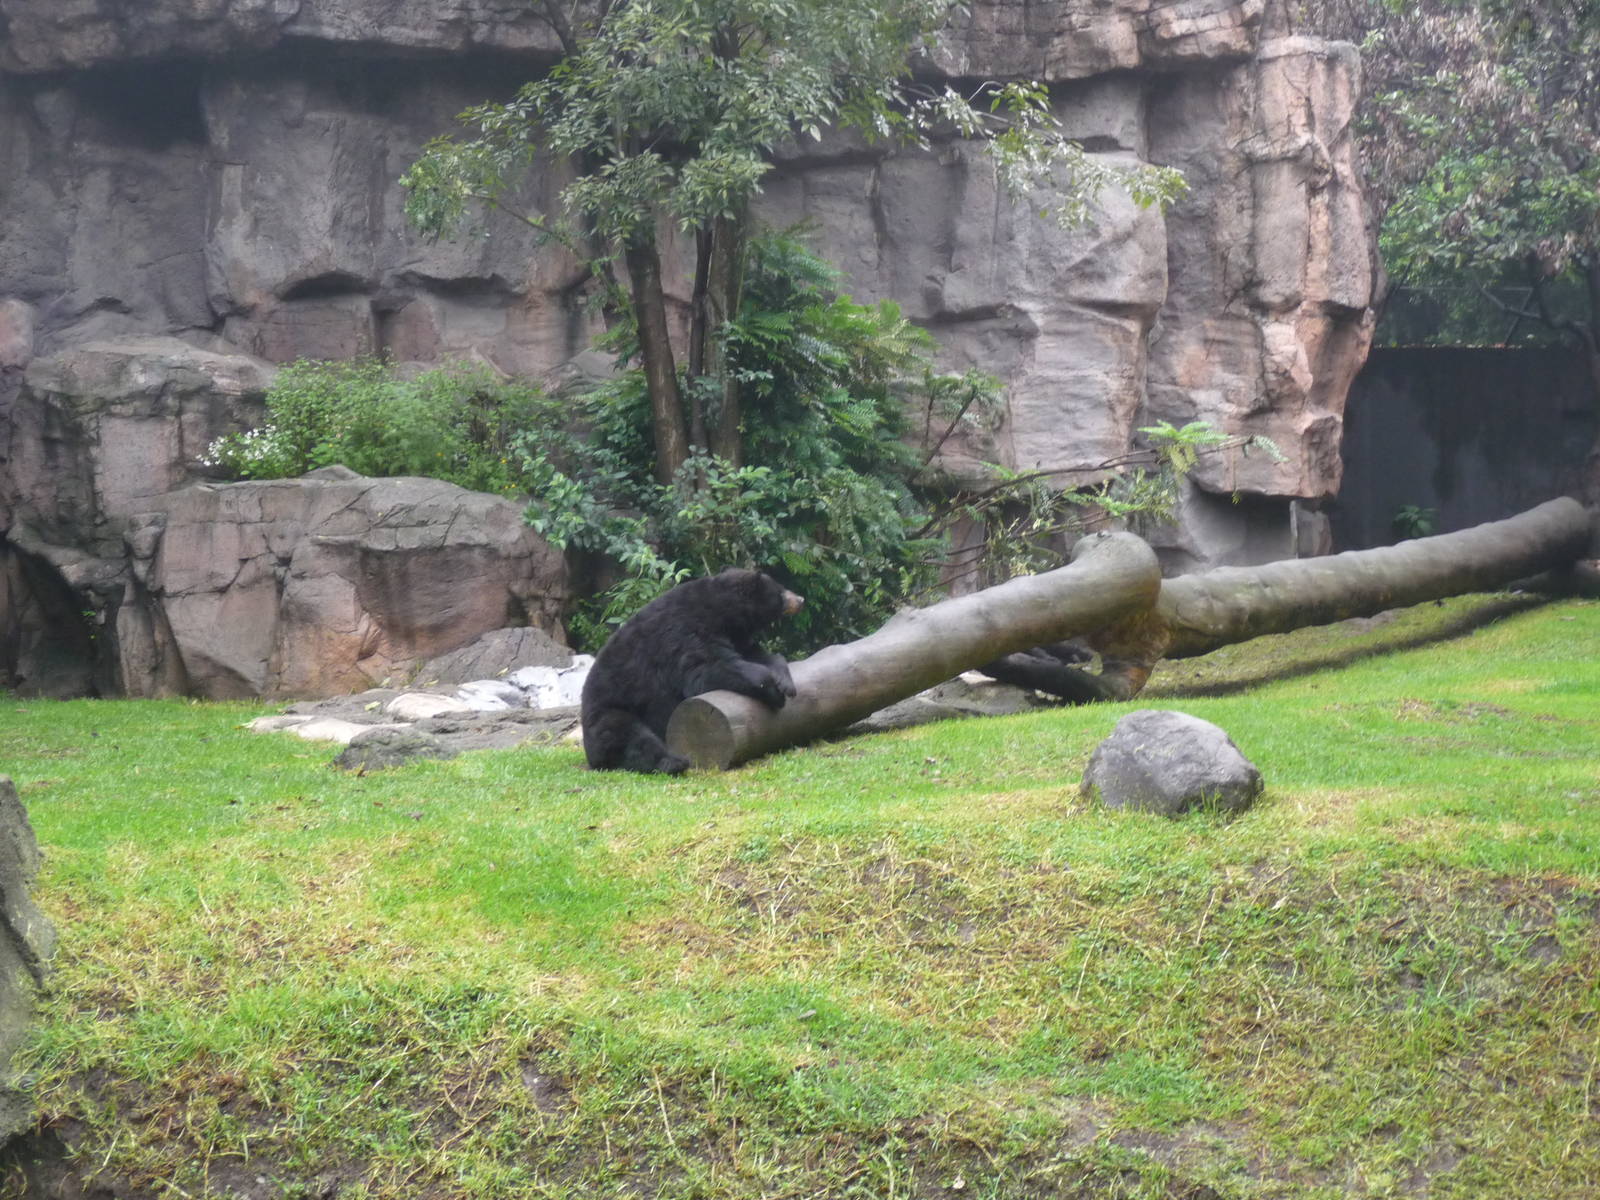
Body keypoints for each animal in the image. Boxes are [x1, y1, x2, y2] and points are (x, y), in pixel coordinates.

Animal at [580, 568, 805, 774]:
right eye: (780, 591)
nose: (800, 599)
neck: (722, 611)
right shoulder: (684, 631)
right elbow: (705, 670)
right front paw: (773, 692)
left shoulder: (735, 635)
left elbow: (755, 654)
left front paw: (785, 684)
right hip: (610, 712)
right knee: (632, 736)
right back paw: (673, 762)